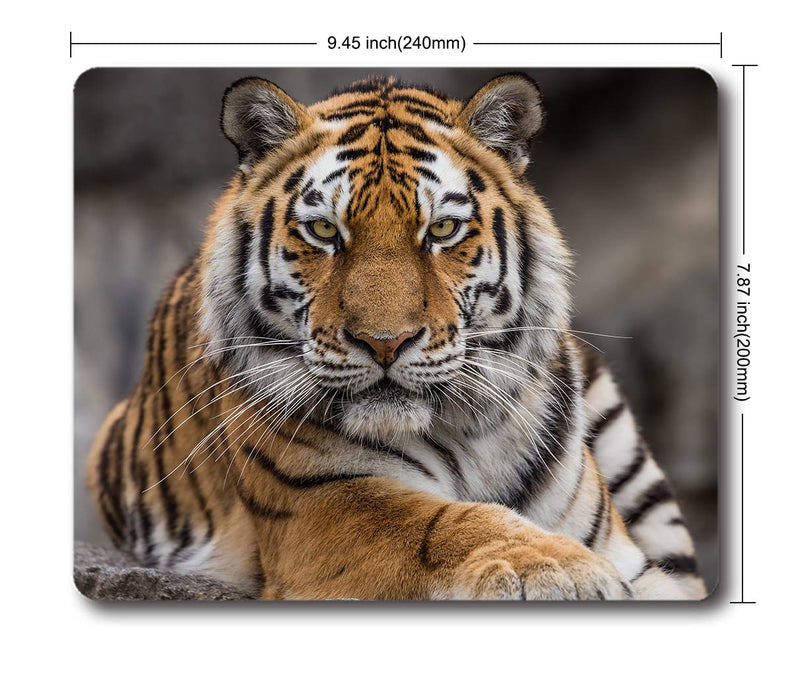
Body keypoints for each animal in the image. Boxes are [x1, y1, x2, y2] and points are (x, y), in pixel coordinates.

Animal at [86, 73, 707, 600]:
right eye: (323, 231)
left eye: (442, 229)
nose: (385, 342)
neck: (467, 434)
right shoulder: (321, 504)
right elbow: (440, 521)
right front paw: (559, 568)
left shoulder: (637, 559)